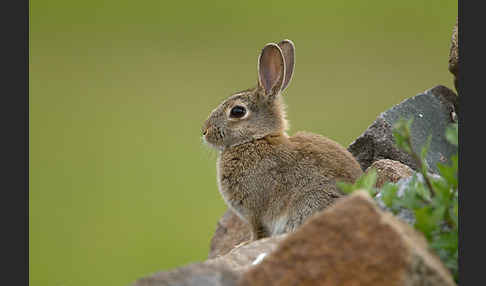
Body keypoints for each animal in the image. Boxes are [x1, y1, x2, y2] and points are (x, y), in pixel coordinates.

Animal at [199, 39, 362, 241]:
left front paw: (245, 244)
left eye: (237, 111)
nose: (204, 131)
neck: (255, 139)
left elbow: (258, 231)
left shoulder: (255, 212)